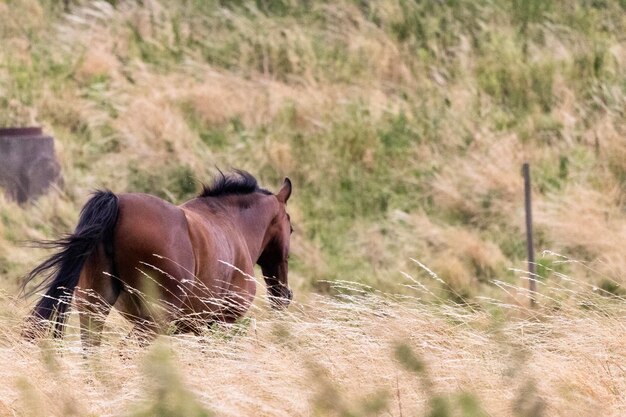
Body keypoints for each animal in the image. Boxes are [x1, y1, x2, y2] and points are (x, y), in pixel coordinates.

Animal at [20, 169, 292, 344]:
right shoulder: (220, 322)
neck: (232, 223)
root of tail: (118, 205)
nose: (285, 295)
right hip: (154, 320)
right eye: (291, 229)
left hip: (94, 307)